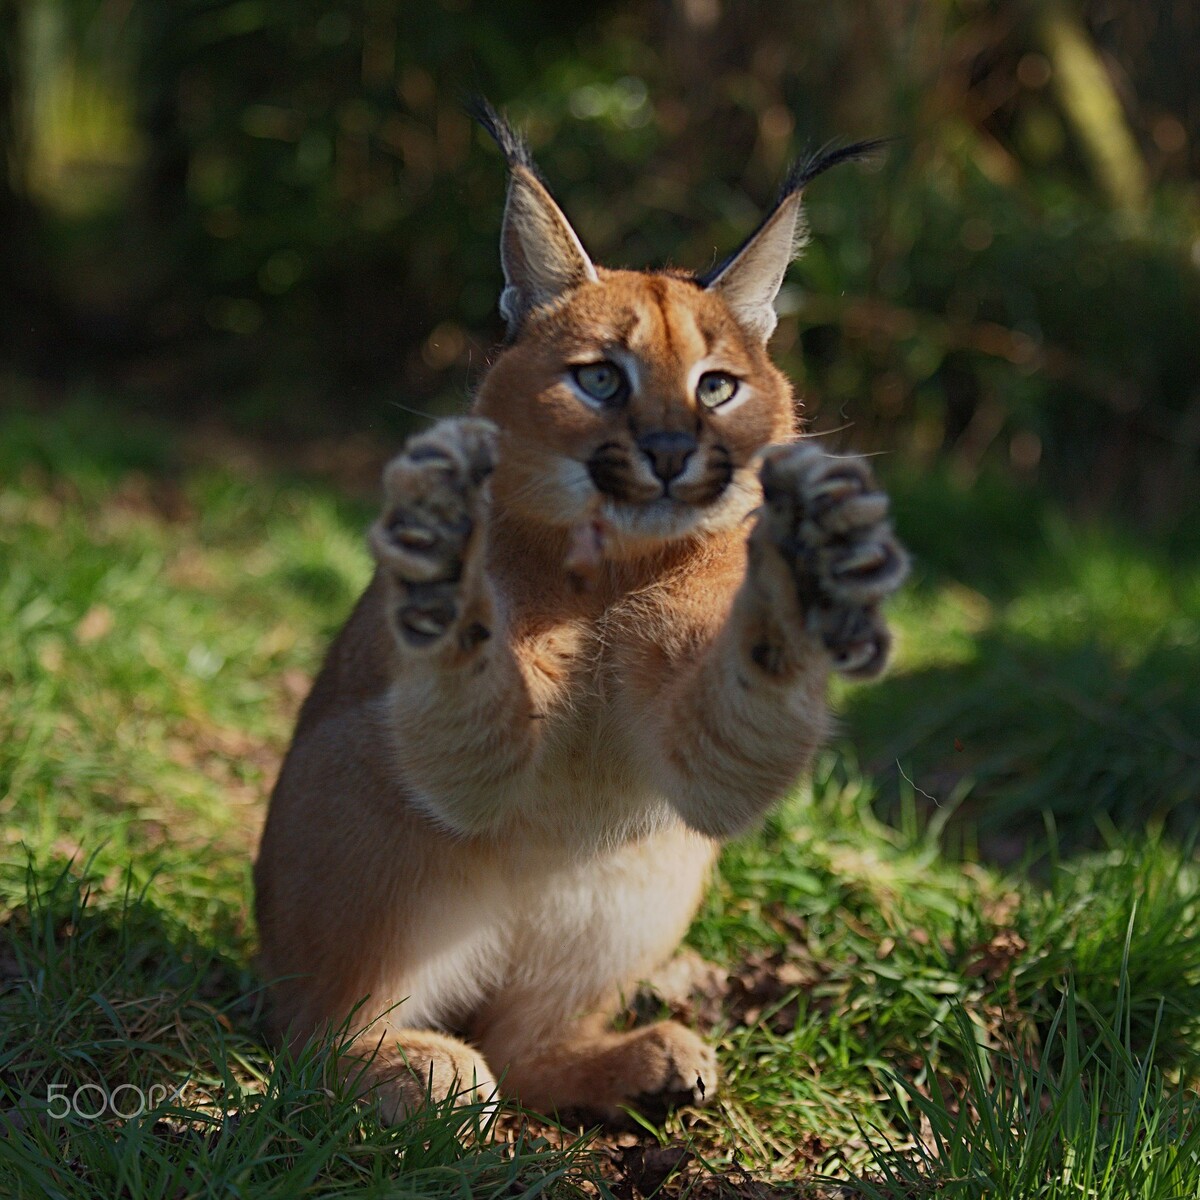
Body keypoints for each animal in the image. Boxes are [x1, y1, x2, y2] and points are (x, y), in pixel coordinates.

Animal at [255, 103, 907, 1123]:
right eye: (601, 379)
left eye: (716, 385)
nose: (673, 451)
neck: (610, 577)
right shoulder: (452, 764)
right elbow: (466, 722)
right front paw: (448, 554)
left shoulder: (705, 769)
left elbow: (739, 723)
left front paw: (807, 560)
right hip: (355, 783)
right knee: (311, 1036)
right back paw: (416, 1064)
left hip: (655, 867)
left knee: (522, 1044)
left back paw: (641, 1062)